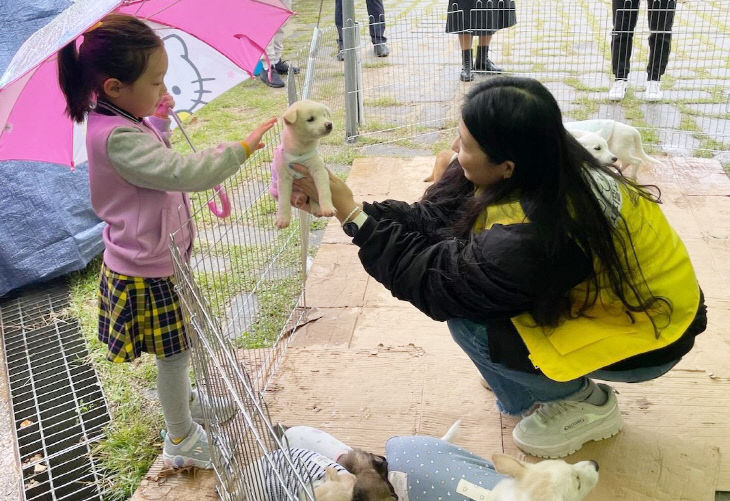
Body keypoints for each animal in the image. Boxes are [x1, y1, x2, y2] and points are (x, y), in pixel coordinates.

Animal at [272, 99, 332, 229]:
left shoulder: (319, 170)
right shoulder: (283, 178)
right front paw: (282, 219)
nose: (329, 124)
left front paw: (327, 208)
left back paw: (316, 208)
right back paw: (299, 198)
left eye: (324, 115)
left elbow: (324, 191)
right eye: (310, 119)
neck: (300, 151)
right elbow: (284, 201)